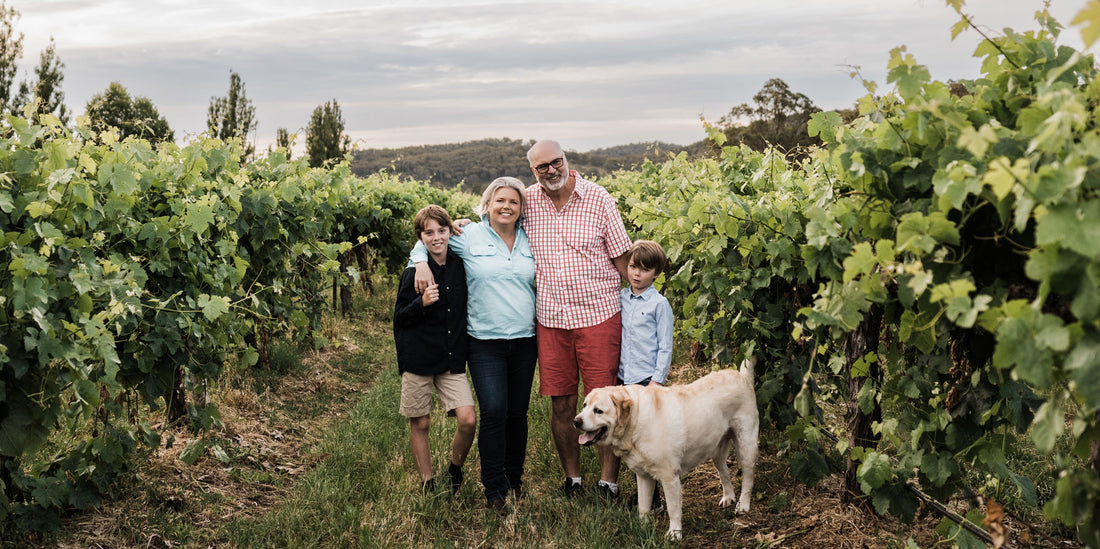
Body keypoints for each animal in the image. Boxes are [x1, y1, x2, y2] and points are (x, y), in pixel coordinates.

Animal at [576, 356, 756, 541]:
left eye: (598, 411)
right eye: (584, 405)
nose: (576, 421)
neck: (636, 420)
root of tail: (742, 376)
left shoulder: (669, 477)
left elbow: (673, 509)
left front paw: (674, 534)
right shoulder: (643, 476)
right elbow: (643, 506)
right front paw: (643, 528)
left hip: (746, 445)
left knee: (748, 477)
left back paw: (743, 505)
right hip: (716, 450)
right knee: (724, 472)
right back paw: (728, 497)